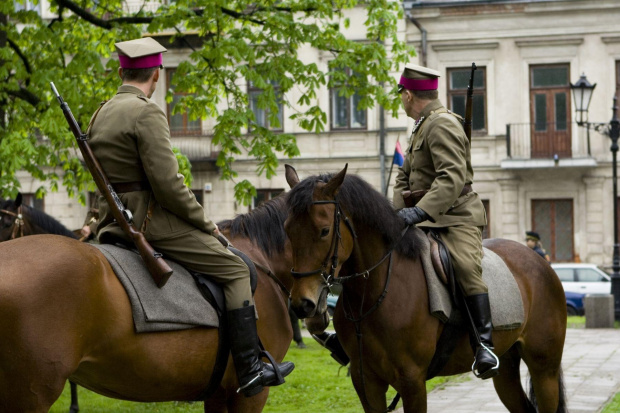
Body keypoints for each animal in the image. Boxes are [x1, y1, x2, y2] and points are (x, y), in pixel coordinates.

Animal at [280, 165, 568, 412]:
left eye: (324, 230)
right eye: (287, 230)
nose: (302, 303)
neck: (375, 294)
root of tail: (541, 263)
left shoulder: (412, 382)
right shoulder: (366, 382)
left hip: (544, 370)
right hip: (506, 368)